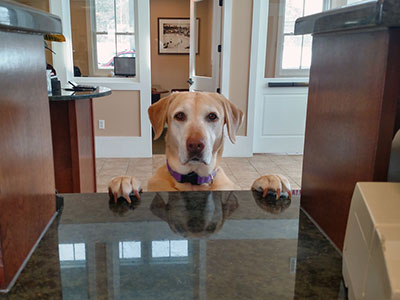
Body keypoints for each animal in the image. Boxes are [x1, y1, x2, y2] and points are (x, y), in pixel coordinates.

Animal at [108, 92, 290, 203]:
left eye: (212, 116)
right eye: (180, 115)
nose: (195, 145)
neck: (193, 180)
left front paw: (271, 179)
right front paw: (125, 181)